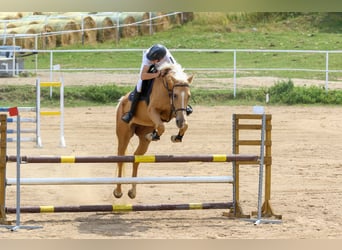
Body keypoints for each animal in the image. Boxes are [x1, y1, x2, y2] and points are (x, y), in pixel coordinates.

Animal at [114, 63, 192, 199]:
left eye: (188, 96)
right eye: (175, 95)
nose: (180, 122)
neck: (167, 89)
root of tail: (121, 101)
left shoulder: (175, 113)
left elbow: (184, 125)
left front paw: (177, 137)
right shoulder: (153, 111)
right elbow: (161, 126)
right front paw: (154, 135)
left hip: (143, 135)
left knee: (136, 157)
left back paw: (132, 191)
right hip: (124, 134)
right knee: (121, 158)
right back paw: (118, 192)